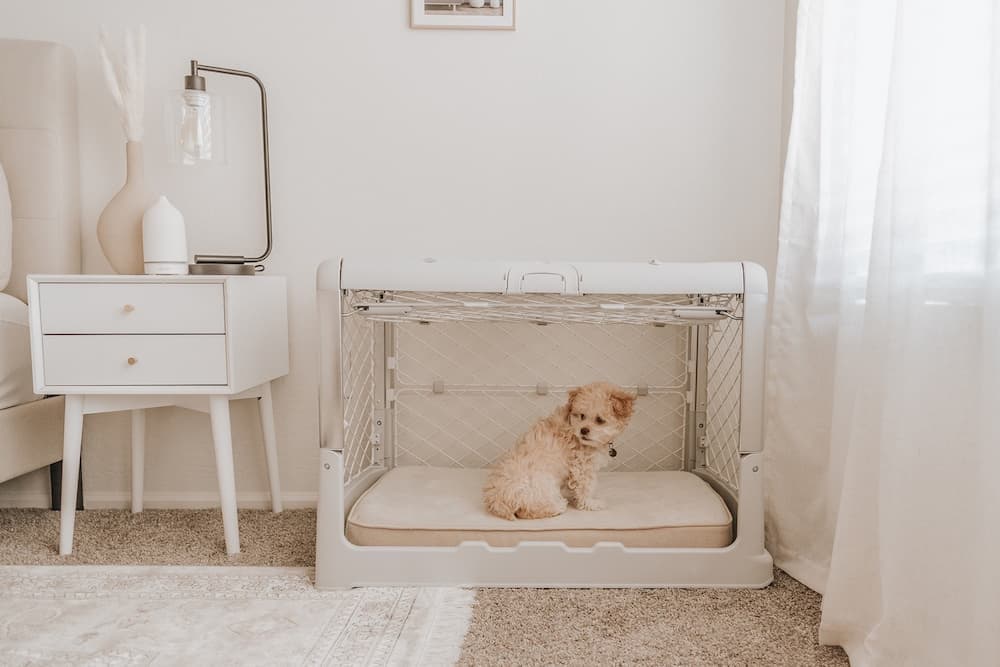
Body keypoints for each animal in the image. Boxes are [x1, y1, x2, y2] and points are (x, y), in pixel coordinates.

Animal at [482, 380, 632, 520]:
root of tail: (496, 499)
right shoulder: (582, 466)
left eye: (600, 420)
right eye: (582, 416)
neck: (572, 427)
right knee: (528, 510)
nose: (583, 430)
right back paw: (558, 506)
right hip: (540, 484)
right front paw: (591, 503)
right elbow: (586, 487)